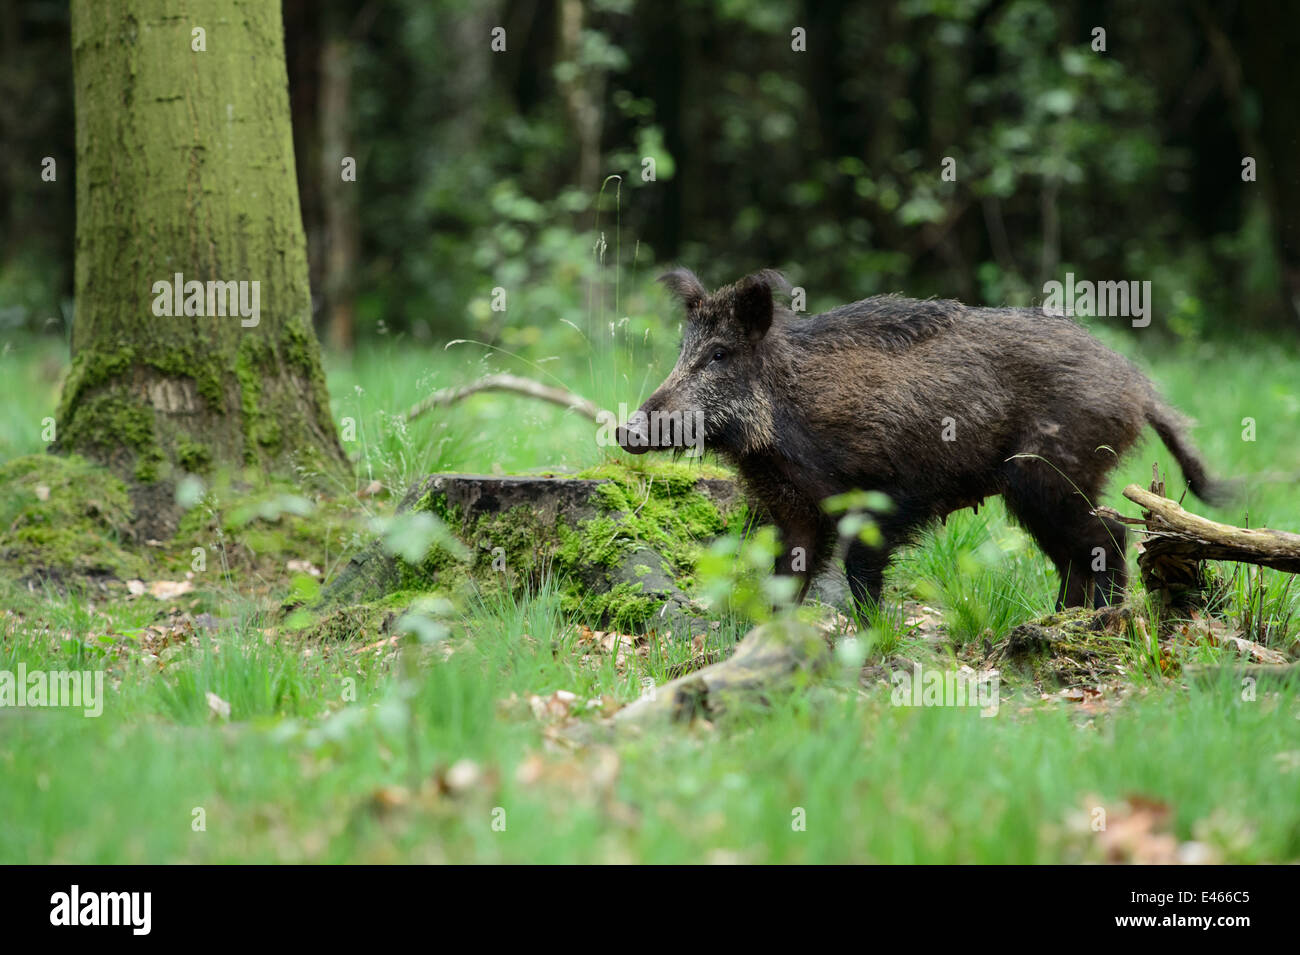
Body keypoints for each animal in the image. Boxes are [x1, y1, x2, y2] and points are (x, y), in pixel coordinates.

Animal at [616, 268, 1230, 610]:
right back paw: (1061, 620)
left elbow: (861, 575)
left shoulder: (885, 495)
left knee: (1110, 538)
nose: (625, 429)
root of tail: (1140, 387)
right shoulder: (795, 509)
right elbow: (785, 580)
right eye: (682, 351)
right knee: (1080, 551)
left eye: (720, 353)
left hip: (1050, 473)